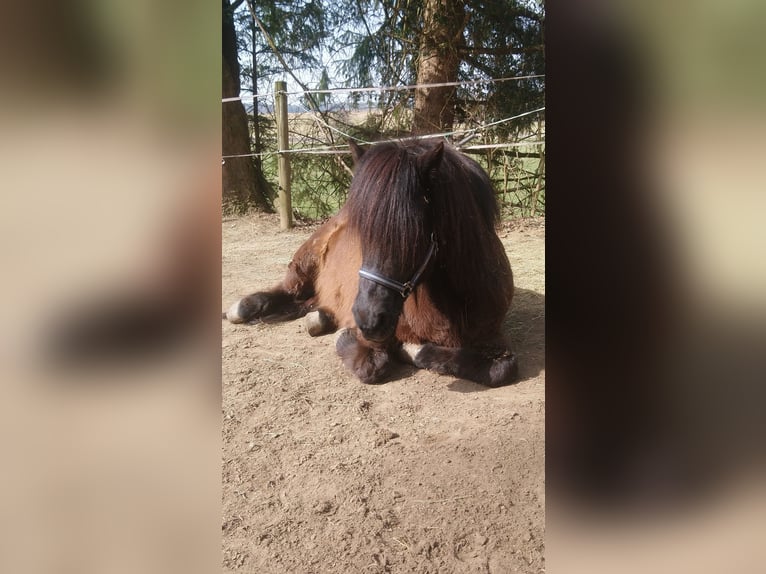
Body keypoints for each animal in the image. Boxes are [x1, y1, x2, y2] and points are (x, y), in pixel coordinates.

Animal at [225, 140, 518, 387]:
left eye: (411, 232)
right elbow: (371, 367)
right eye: (361, 232)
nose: (368, 320)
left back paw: (319, 318)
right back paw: (242, 307)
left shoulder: (493, 338)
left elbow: (501, 370)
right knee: (287, 289)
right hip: (305, 261)